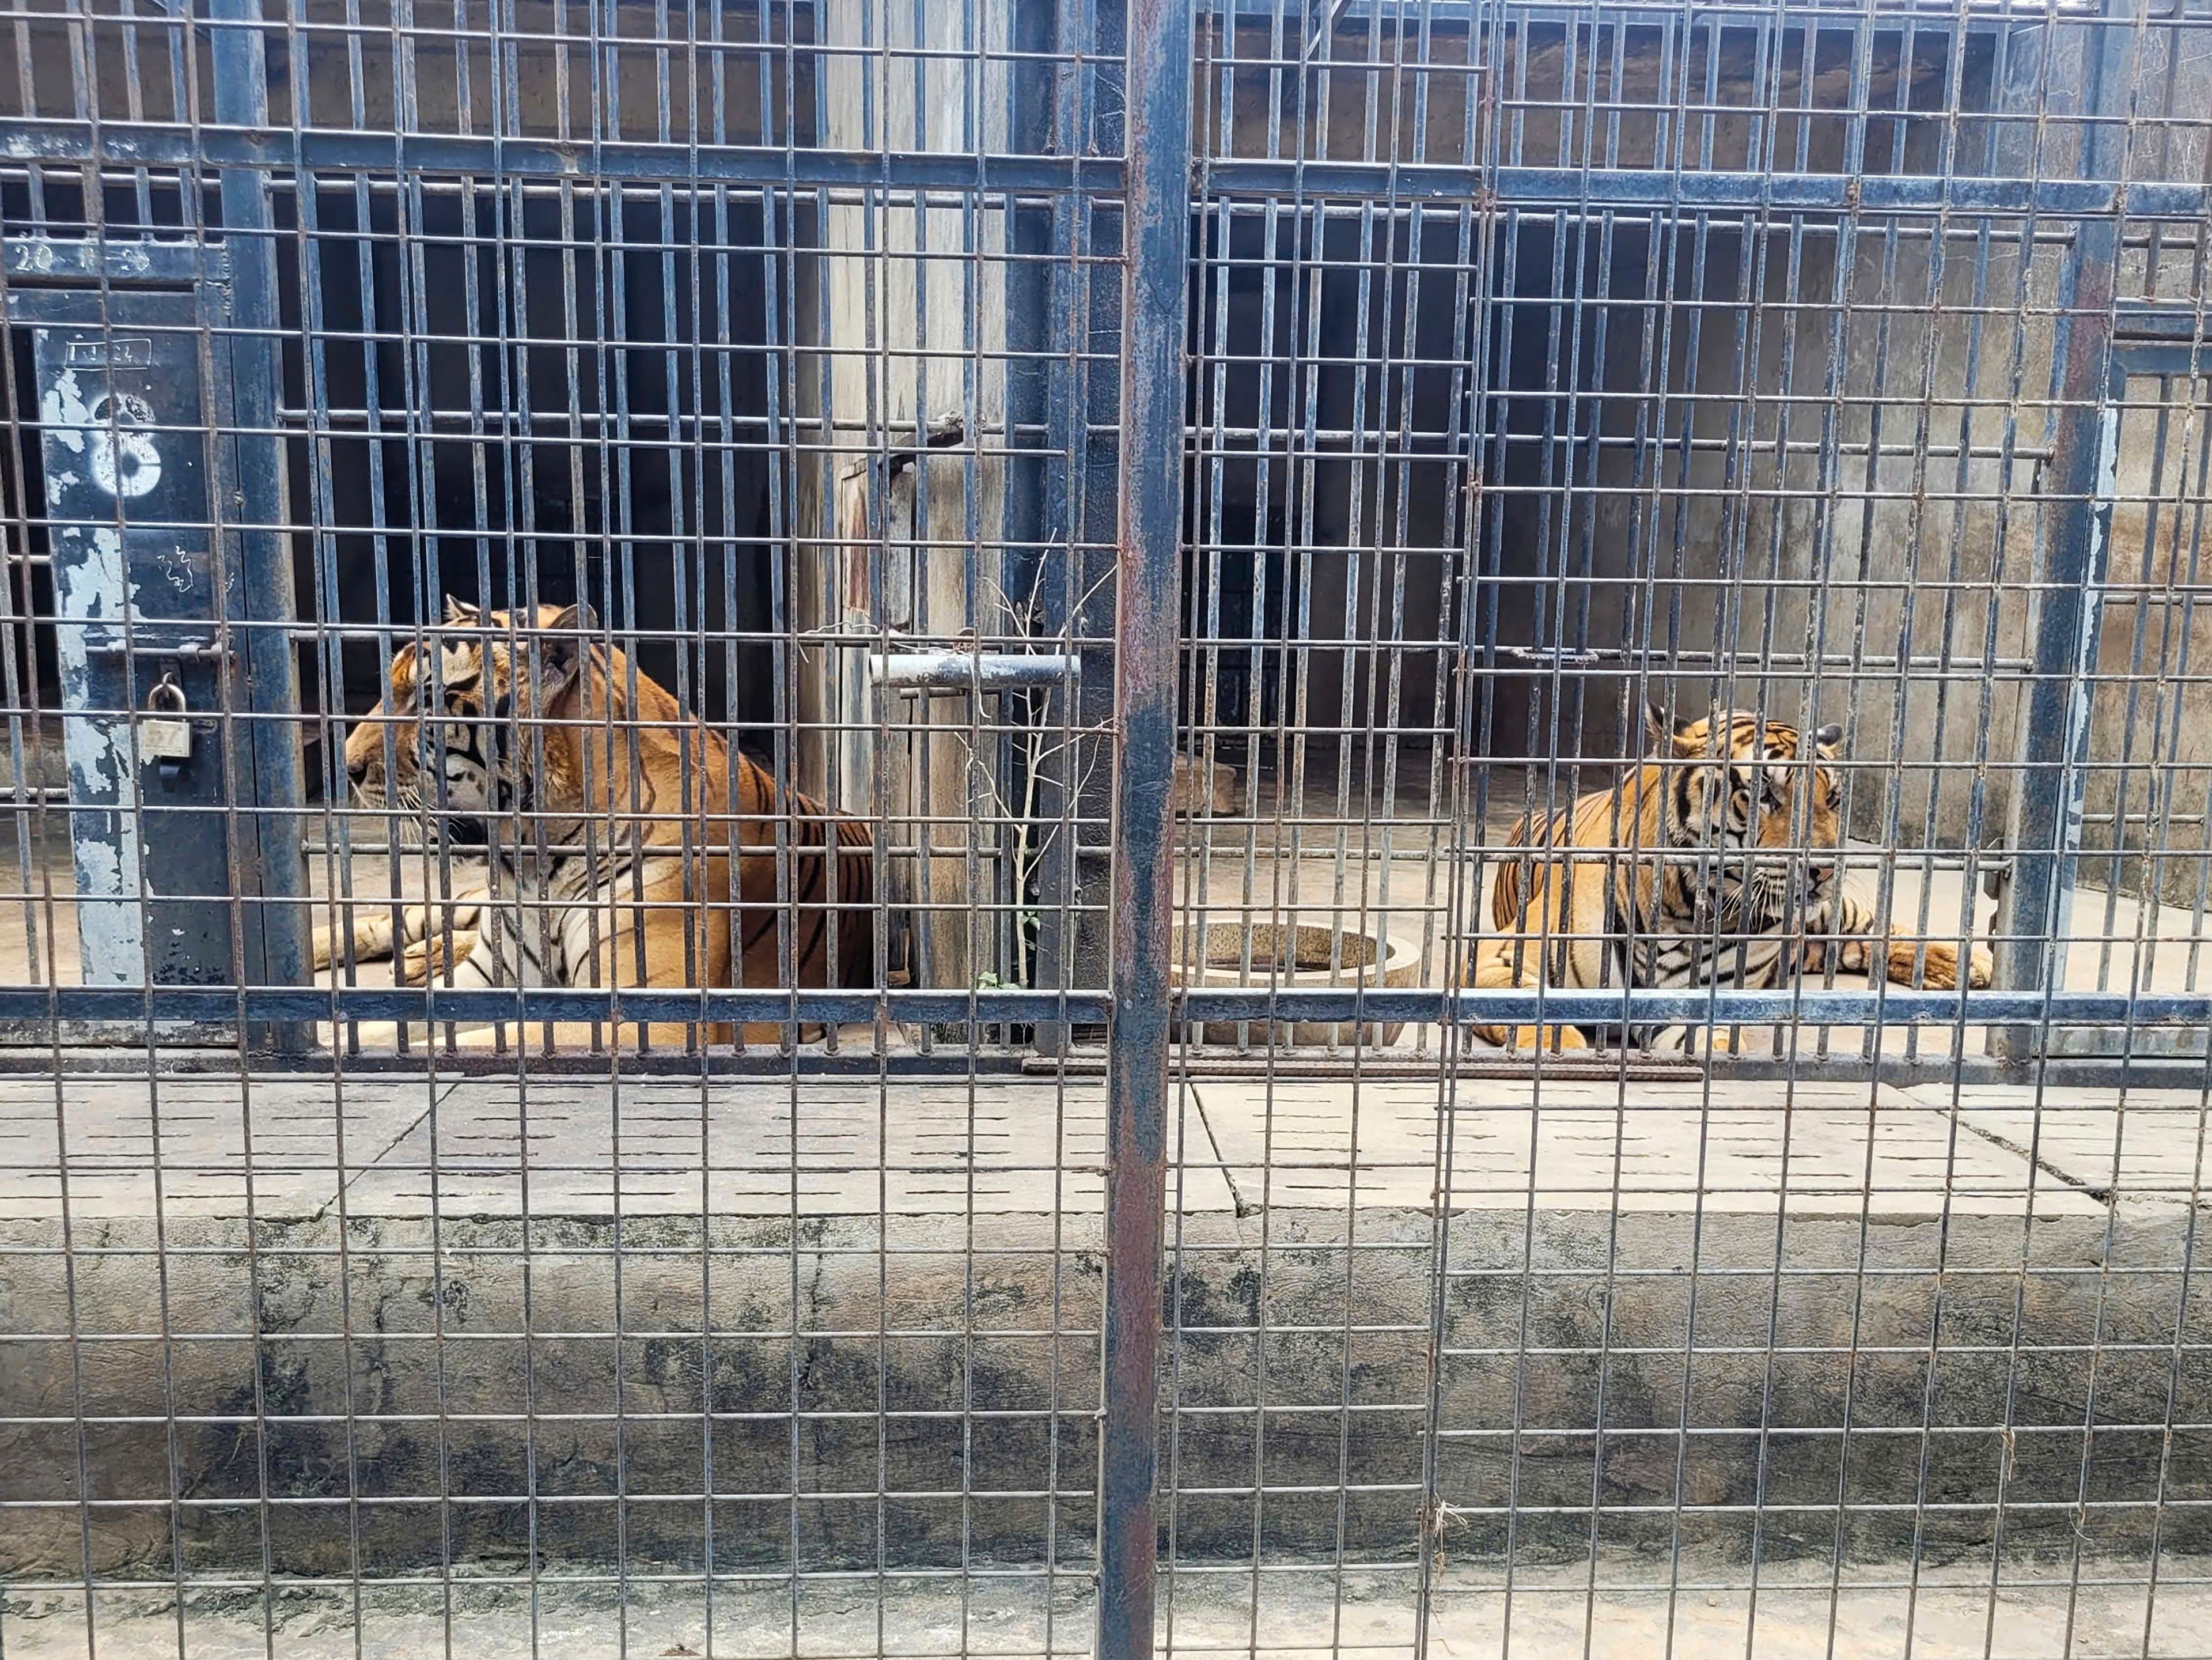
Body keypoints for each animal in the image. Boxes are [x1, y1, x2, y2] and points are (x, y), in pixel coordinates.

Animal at [309, 598, 871, 1045]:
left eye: (427, 698)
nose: (347, 766)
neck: (535, 857)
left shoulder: (650, 1011)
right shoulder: (486, 980)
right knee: (394, 921)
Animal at [1460, 704, 1999, 1053]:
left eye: (1833, 799)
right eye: (1765, 795)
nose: (1826, 868)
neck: (1686, 905)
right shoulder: (1502, 959)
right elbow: (1541, 1019)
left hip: (1833, 914)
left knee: (1878, 929)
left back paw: (1973, 964)